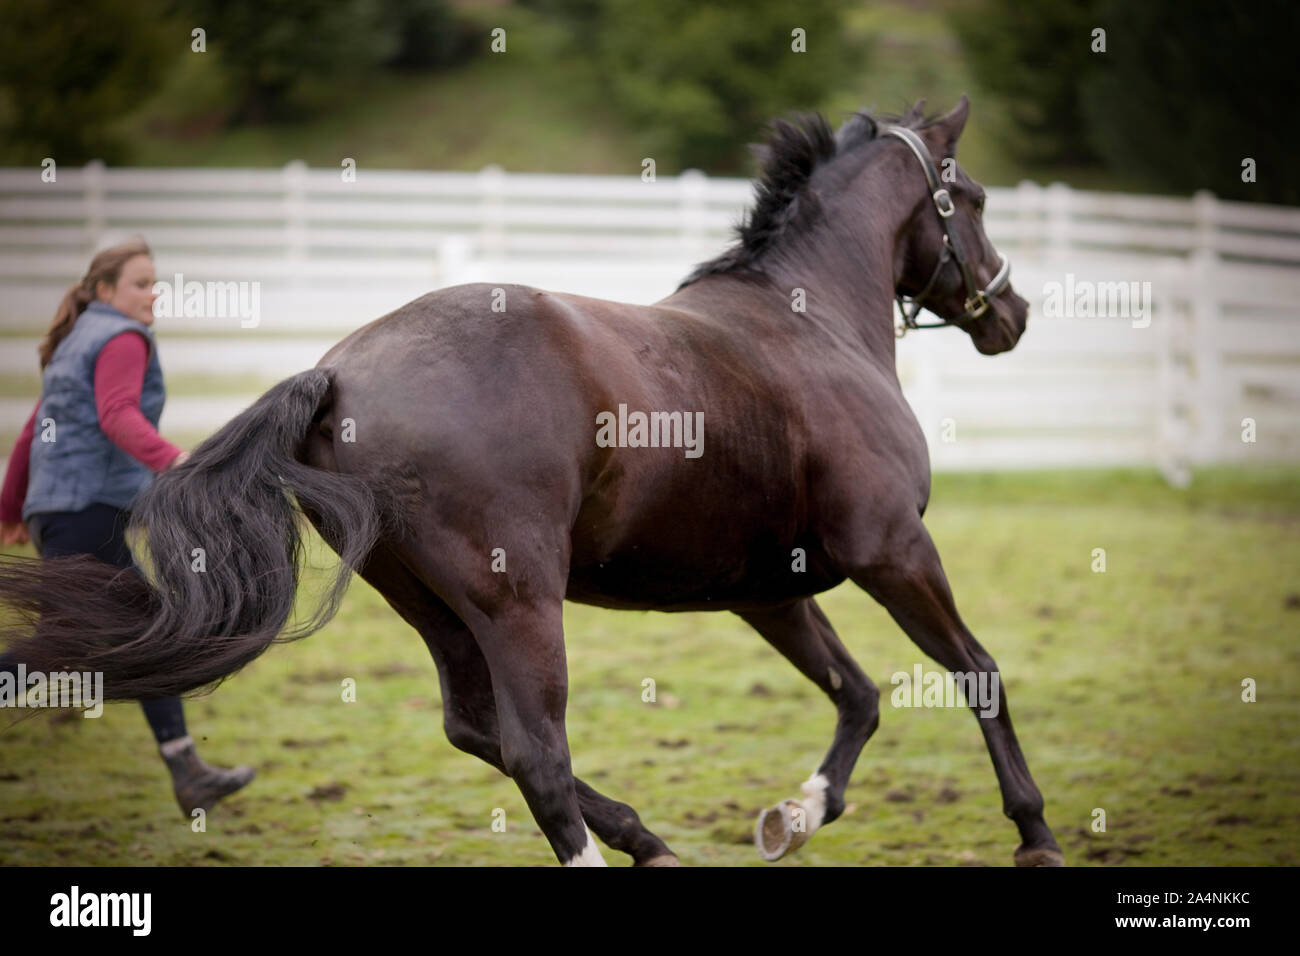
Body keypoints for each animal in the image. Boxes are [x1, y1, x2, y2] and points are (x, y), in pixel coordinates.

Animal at [0, 95, 1064, 866]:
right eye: (970, 197)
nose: (1010, 312)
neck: (812, 327)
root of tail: (340, 374)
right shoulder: (895, 551)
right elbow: (977, 673)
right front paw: (1035, 832)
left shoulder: (767, 592)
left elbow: (858, 695)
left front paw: (794, 815)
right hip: (519, 601)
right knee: (536, 756)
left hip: (436, 606)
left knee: (476, 731)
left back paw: (649, 839)